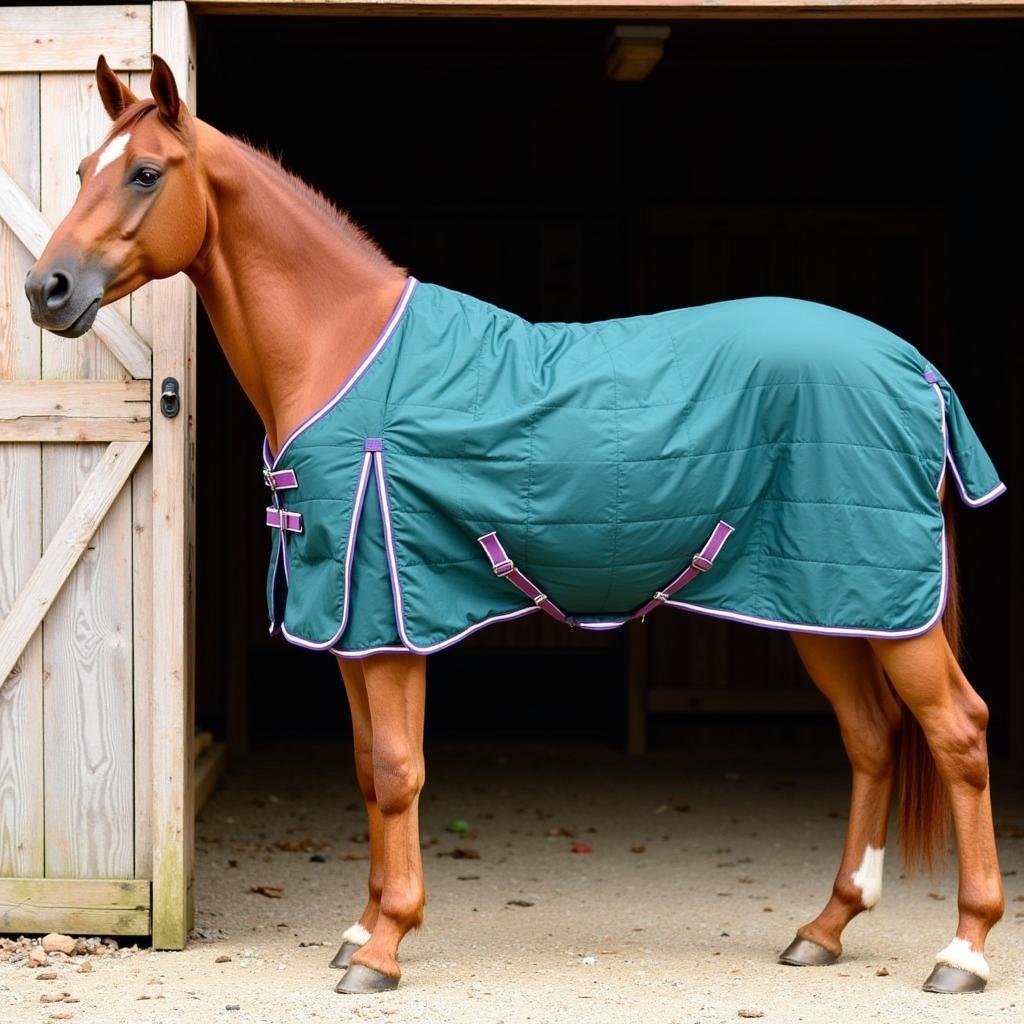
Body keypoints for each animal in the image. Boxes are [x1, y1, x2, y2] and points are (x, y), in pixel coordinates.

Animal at [25, 54, 1007, 991]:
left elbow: (397, 773)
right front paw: (360, 931)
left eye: (146, 172)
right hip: (827, 605)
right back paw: (825, 929)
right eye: (79, 169)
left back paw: (964, 950)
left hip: (880, 606)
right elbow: (366, 768)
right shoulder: (347, 623)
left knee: (957, 730)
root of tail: (914, 367)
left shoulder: (390, 621)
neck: (341, 348)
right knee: (872, 738)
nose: (46, 288)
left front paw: (386, 947)